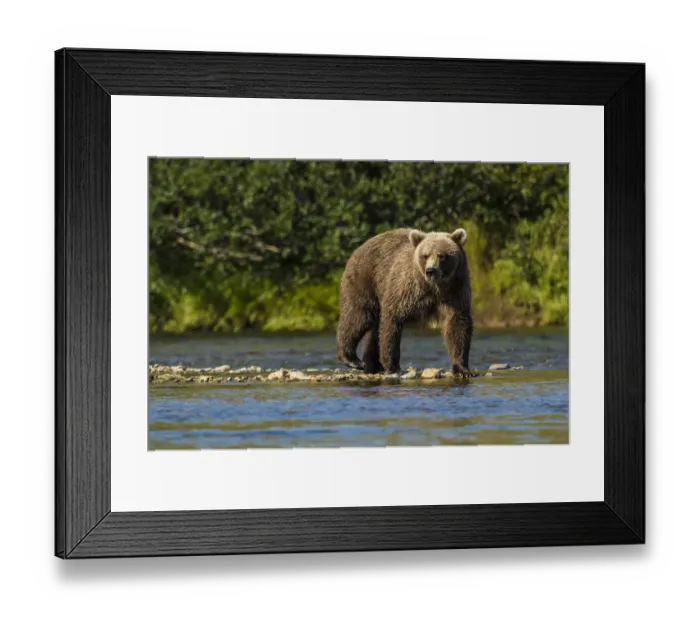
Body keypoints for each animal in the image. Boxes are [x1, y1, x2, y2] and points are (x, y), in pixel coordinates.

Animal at [337, 227, 474, 378]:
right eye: (425, 255)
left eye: (441, 255)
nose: (430, 271)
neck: (434, 287)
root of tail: (359, 248)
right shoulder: (405, 288)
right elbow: (391, 322)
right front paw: (393, 366)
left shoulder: (455, 290)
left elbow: (457, 324)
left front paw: (462, 369)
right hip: (366, 280)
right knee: (358, 316)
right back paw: (352, 359)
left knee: (371, 330)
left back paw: (372, 364)